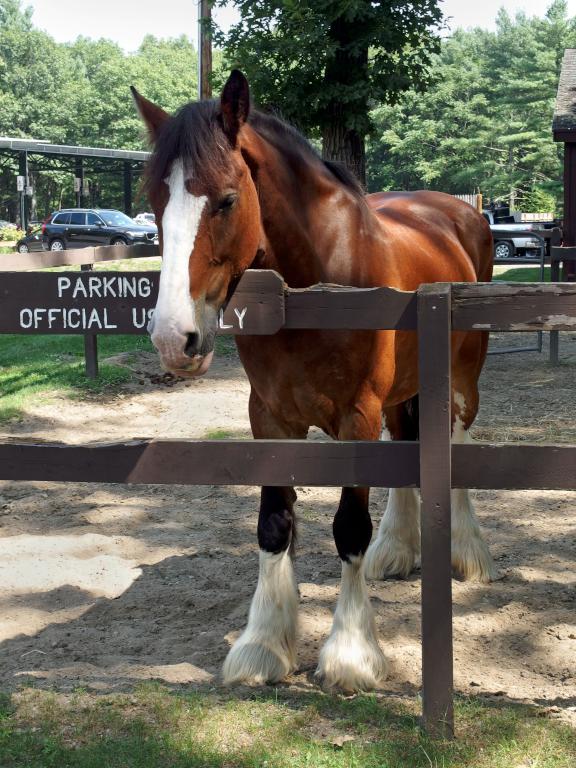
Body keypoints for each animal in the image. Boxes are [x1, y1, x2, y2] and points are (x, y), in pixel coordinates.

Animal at [132, 70, 496, 688]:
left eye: (227, 199)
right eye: (155, 200)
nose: (173, 338)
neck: (321, 280)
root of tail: (460, 214)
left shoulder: (357, 416)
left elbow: (349, 527)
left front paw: (350, 654)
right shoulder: (270, 417)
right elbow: (273, 524)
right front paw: (262, 646)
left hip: (461, 378)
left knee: (460, 436)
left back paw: (466, 551)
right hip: (401, 392)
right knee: (406, 440)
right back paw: (397, 550)